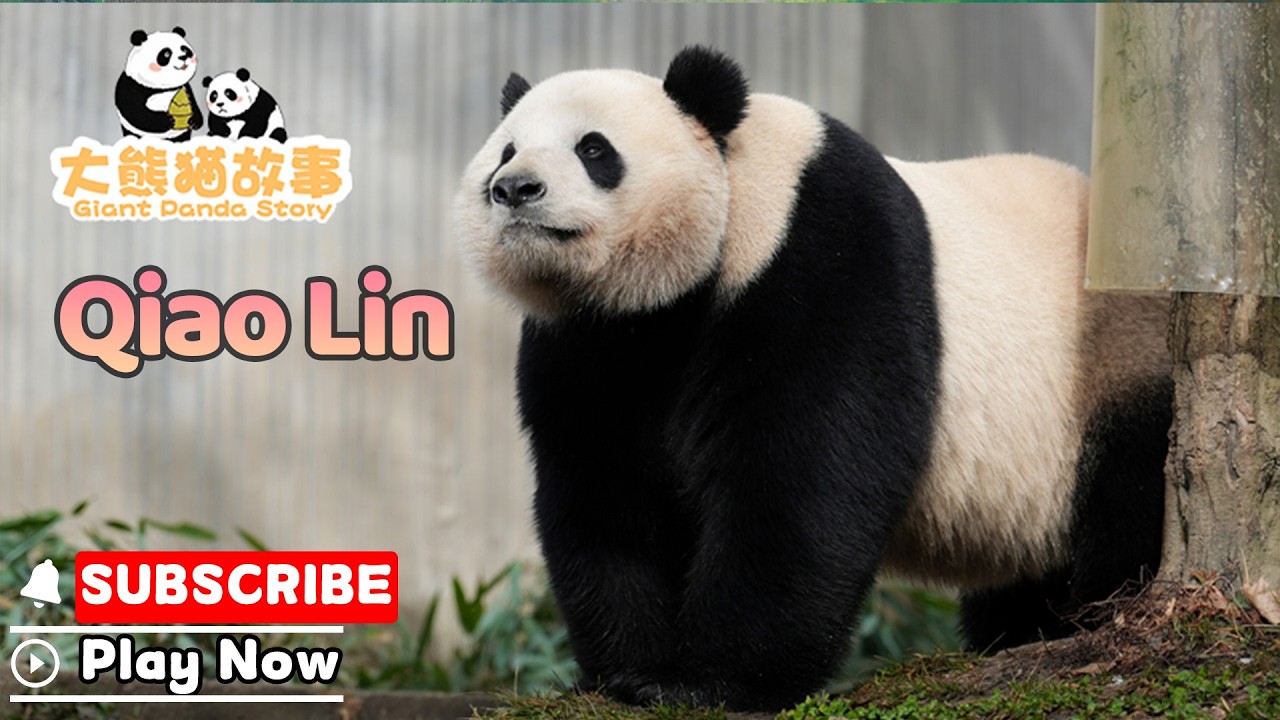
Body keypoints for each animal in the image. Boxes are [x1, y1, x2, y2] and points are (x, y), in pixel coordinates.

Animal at [455, 47, 1172, 711]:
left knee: (1132, 496)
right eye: (506, 151)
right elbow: (607, 488)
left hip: (1112, 355)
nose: (514, 189)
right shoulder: (592, 344)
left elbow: (802, 474)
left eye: (594, 149)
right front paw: (625, 673)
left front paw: (710, 681)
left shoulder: (824, 259)